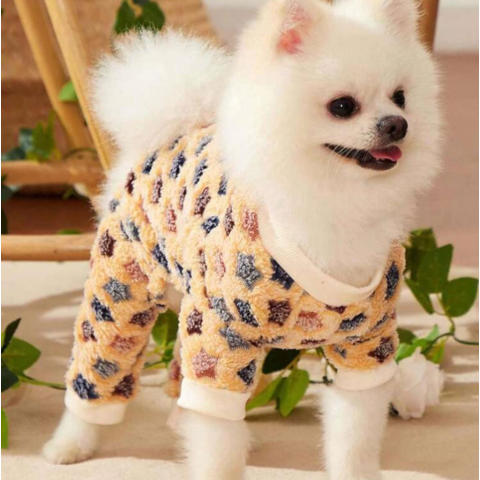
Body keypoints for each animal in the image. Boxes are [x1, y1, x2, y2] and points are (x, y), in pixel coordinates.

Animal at [43, 1, 441, 478]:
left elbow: (355, 437)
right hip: (122, 287)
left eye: (401, 97)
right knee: (97, 367)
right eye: (343, 106)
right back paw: (69, 444)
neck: (333, 200)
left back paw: (179, 418)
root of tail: (171, 133)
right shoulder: (223, 337)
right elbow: (218, 445)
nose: (397, 124)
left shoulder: (365, 344)